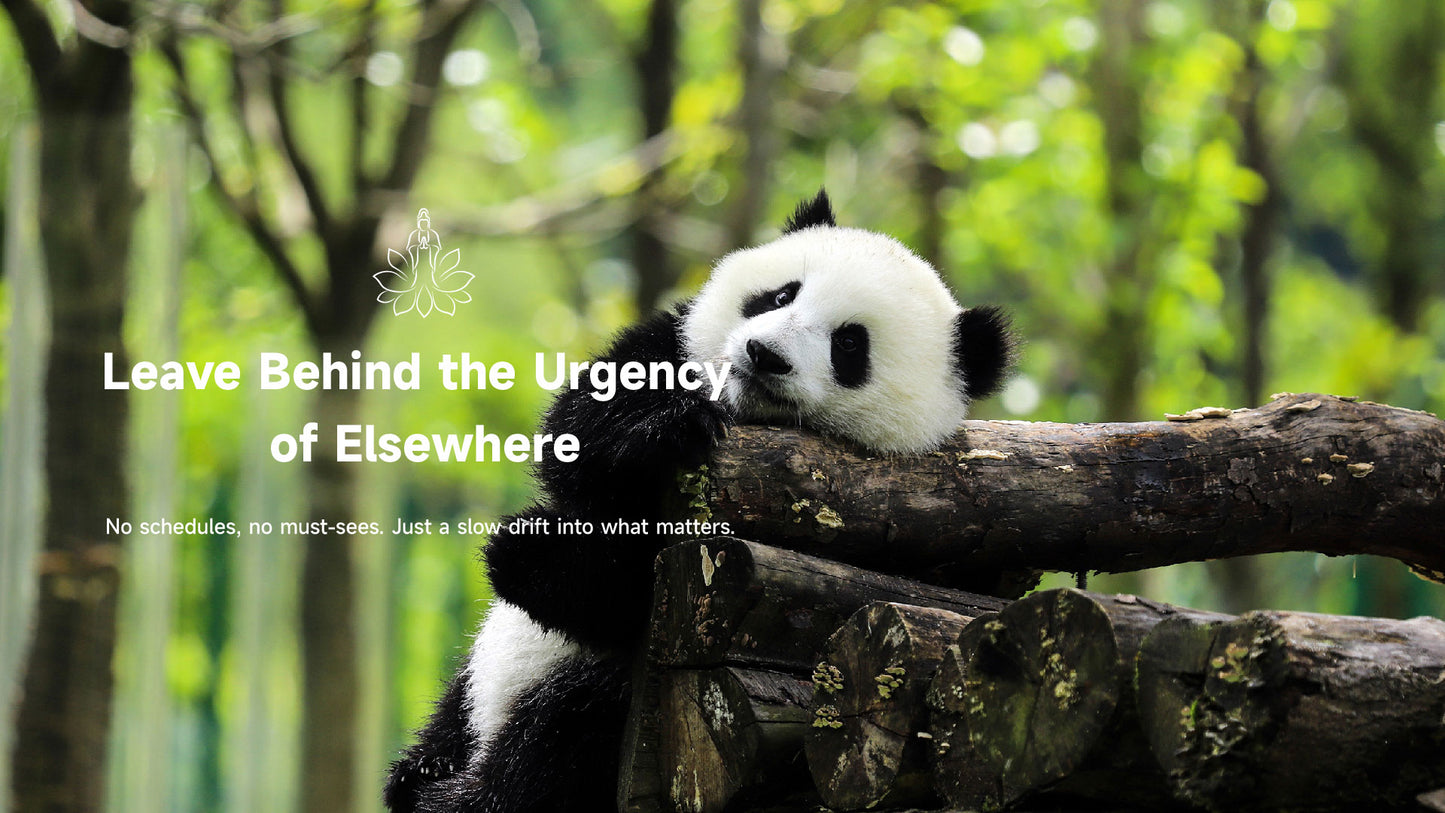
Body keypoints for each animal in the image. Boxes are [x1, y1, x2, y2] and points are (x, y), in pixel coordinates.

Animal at [384, 190, 1013, 813]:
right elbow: (582, 435)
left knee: (556, 740)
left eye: (850, 344)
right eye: (781, 295)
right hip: (471, 693)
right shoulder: (671, 346)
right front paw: (664, 429)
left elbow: (621, 590)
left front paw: (549, 558)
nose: (764, 353)